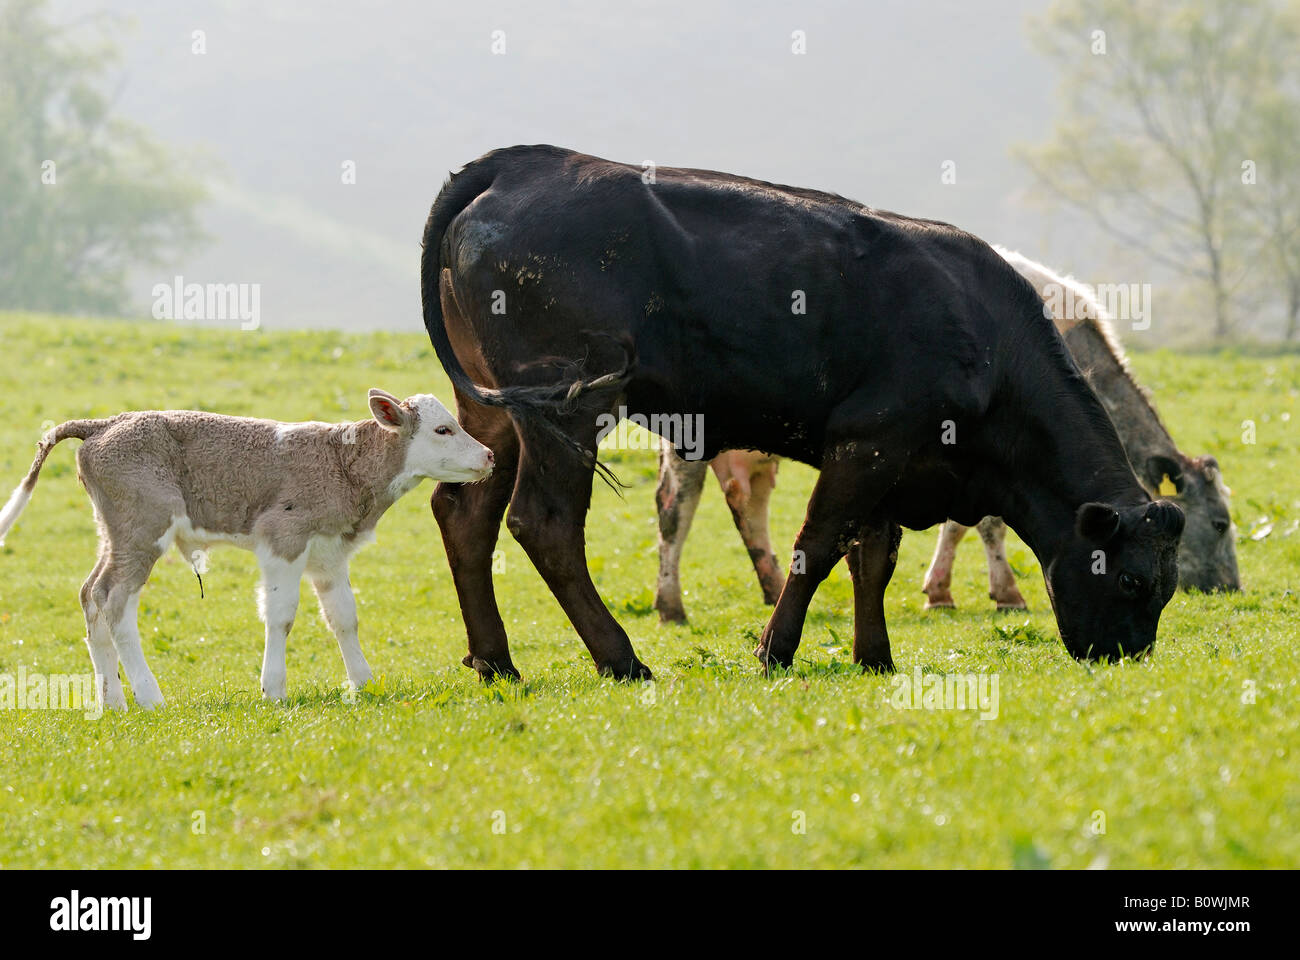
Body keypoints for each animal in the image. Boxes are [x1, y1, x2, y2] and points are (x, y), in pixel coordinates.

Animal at [0, 385, 491, 707]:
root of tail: (106, 422)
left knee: (91, 595)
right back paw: (149, 695)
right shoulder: (283, 538)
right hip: (142, 529)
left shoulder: (329, 553)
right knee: (114, 601)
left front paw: (363, 684)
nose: (488, 455)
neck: (342, 461)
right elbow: (281, 615)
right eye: (443, 430)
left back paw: (112, 700)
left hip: (114, 533)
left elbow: (344, 618)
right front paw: (274, 689)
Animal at [660, 247, 1237, 616]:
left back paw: (772, 585)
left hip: (750, 453)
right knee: (674, 507)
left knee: (746, 504)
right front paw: (1004, 593)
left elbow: (962, 523)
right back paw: (671, 605)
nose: (1231, 587)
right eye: (1220, 524)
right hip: (689, 431)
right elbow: (987, 524)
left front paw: (942, 589)